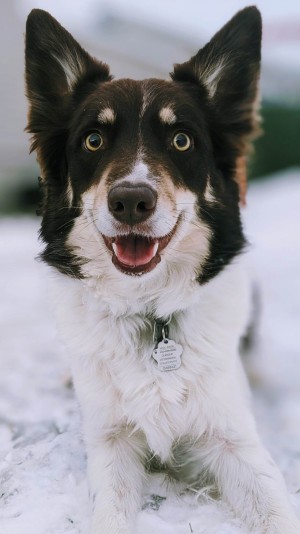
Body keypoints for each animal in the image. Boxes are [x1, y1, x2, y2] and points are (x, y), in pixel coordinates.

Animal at [25, 6, 300, 532]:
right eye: (93, 140)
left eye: (181, 140)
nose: (131, 200)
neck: (152, 313)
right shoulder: (110, 441)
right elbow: (110, 513)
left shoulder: (234, 440)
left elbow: (276, 510)